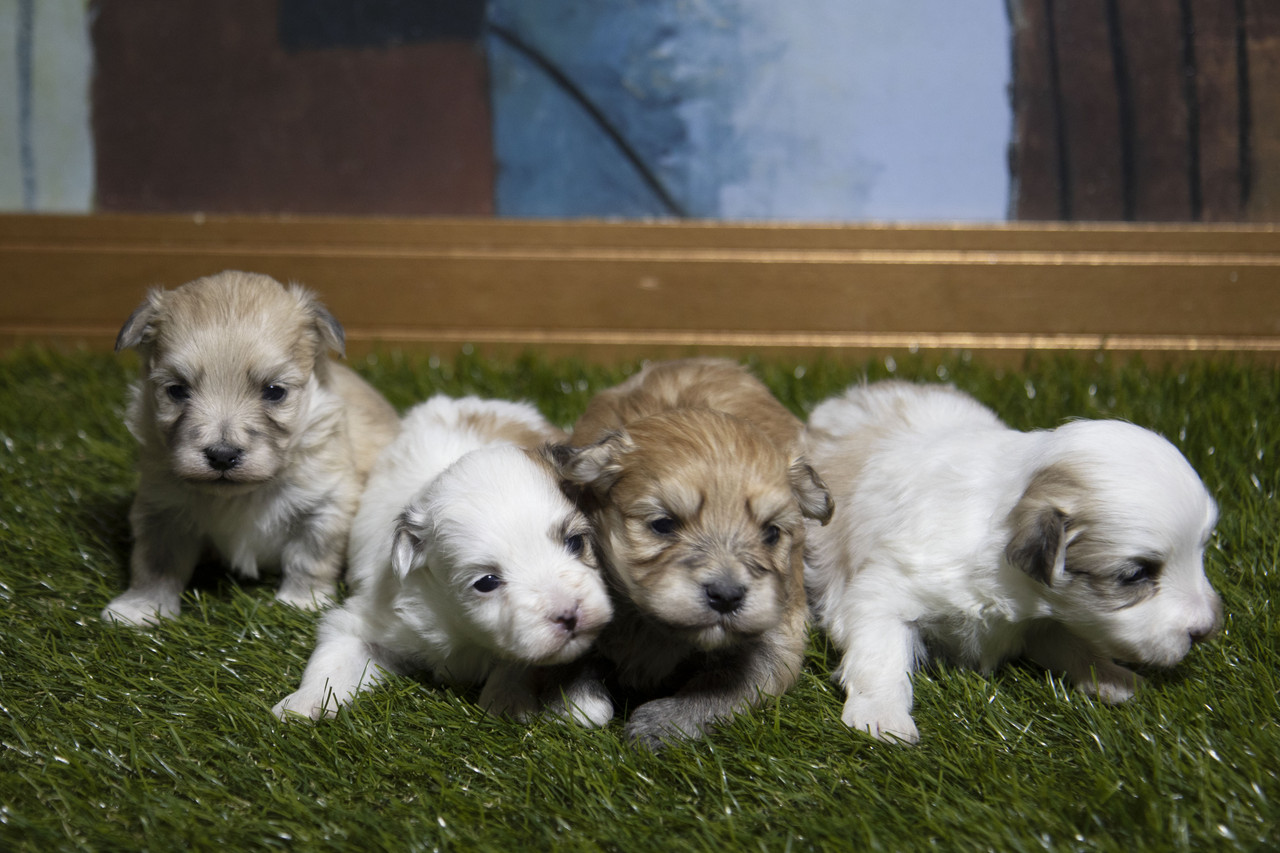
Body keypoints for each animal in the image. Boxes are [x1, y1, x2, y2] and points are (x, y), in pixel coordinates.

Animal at [103, 268, 396, 622]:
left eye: (274, 391)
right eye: (177, 390)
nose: (222, 455)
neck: (239, 496)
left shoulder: (324, 505)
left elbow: (309, 559)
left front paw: (300, 603)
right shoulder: (162, 509)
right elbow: (155, 563)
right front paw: (141, 609)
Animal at [270, 394, 614, 722]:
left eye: (575, 542)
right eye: (486, 582)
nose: (569, 615)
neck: (461, 627)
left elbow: (519, 665)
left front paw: (506, 699)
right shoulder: (369, 619)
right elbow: (334, 657)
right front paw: (302, 704)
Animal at [555, 356, 834, 742]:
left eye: (771, 533)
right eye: (663, 524)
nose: (727, 596)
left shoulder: (781, 628)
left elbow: (733, 681)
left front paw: (662, 722)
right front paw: (577, 697)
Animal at [803, 381, 1223, 742]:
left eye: (1202, 550)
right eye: (1135, 574)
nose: (1206, 630)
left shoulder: (1045, 622)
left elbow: (1079, 647)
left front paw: (1115, 678)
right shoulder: (884, 590)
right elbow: (883, 654)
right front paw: (881, 718)